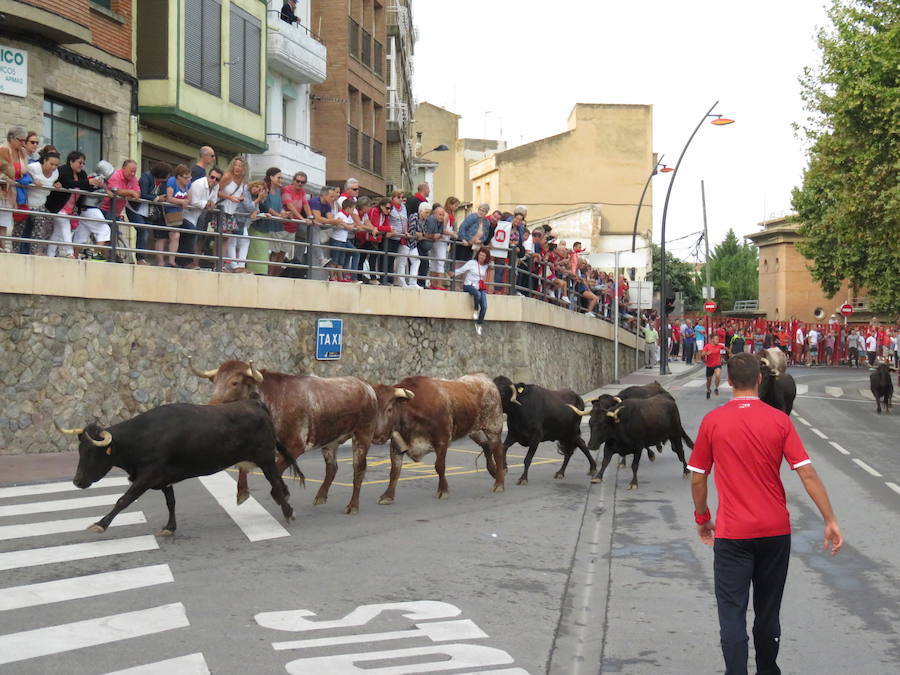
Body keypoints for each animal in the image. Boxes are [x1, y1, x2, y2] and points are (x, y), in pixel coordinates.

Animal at [57, 402, 302, 540]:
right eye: (80, 450)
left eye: (92, 453)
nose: (77, 481)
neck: (142, 437)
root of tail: (257, 406)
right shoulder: (163, 478)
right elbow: (171, 502)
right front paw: (169, 527)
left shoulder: (148, 475)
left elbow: (123, 499)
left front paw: (100, 524)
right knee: (279, 481)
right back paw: (285, 502)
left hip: (265, 458)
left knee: (275, 481)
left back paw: (288, 511)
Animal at [190, 362, 408, 516]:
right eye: (215, 381)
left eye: (234, 382)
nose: (211, 405)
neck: (272, 400)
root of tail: (366, 387)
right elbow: (245, 467)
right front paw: (242, 492)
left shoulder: (296, 446)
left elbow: (276, 471)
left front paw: (281, 493)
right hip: (330, 440)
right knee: (332, 467)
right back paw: (321, 496)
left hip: (362, 435)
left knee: (359, 469)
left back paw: (352, 506)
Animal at [370, 374, 502, 508]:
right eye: (373, 410)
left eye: (389, 409)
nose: (377, 437)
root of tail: (483, 378)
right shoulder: (396, 446)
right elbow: (394, 471)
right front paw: (387, 496)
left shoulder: (442, 441)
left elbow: (439, 466)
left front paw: (442, 491)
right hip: (474, 431)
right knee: (486, 446)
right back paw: (494, 472)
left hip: (494, 427)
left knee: (498, 452)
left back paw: (499, 483)